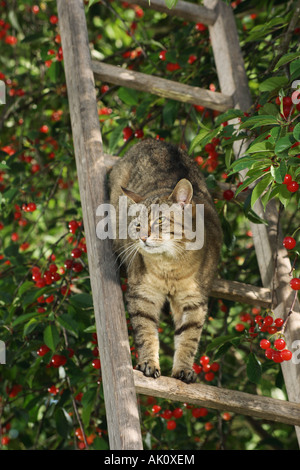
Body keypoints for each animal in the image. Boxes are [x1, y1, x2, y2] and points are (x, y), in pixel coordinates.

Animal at [109, 138, 221, 384]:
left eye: (159, 221)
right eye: (137, 224)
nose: (142, 237)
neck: (171, 266)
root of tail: (151, 140)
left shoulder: (194, 301)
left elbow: (189, 338)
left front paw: (183, 369)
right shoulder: (142, 294)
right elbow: (147, 332)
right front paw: (149, 363)